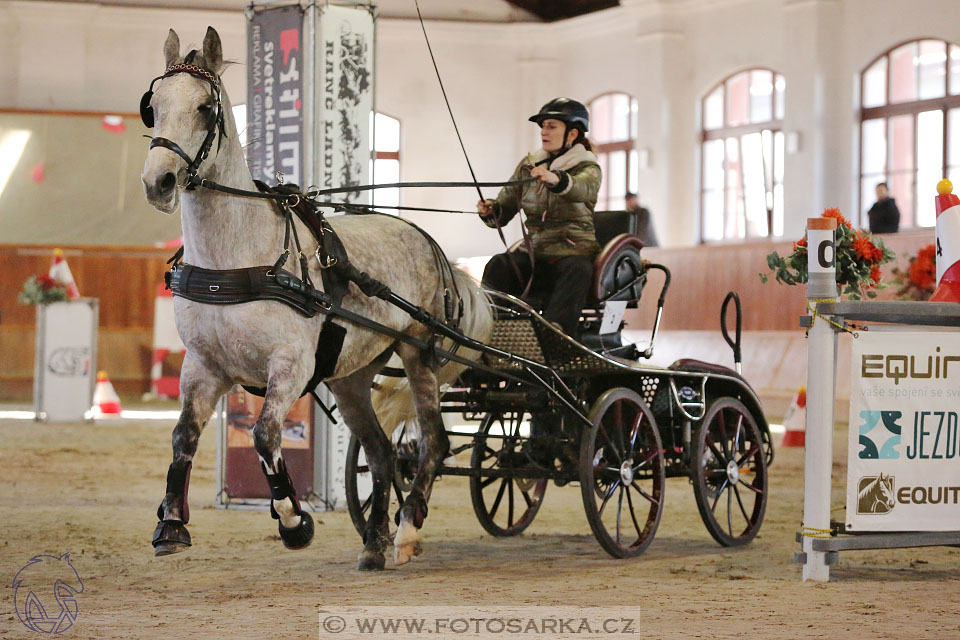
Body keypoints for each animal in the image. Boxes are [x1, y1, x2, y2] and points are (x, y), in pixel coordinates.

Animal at [139, 27, 492, 572]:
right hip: (350, 376)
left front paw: (293, 521)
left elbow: (264, 434)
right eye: (152, 107)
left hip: (418, 351)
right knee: (381, 452)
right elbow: (183, 436)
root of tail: (430, 245)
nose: (158, 182)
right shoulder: (203, 365)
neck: (237, 259)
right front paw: (171, 525)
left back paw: (407, 531)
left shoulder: (291, 365)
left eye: (204, 107)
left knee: (432, 440)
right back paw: (374, 543)